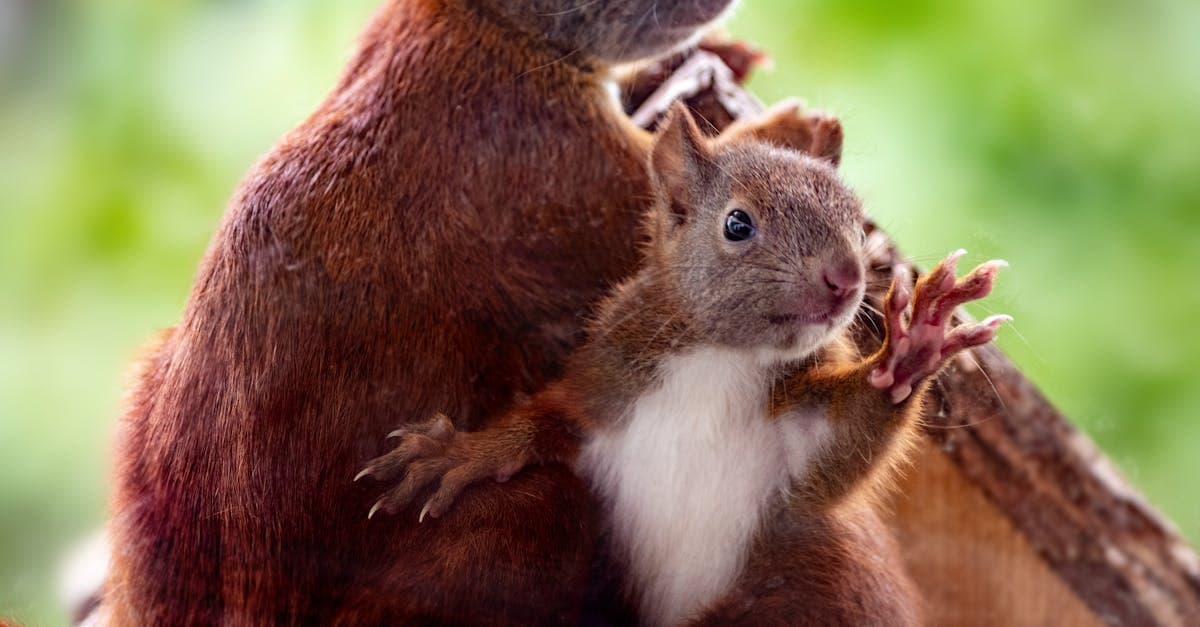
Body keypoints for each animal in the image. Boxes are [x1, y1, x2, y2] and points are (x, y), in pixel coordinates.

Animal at [357, 106, 1011, 626]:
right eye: (737, 224)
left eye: (858, 220)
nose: (846, 278)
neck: (719, 361)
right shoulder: (606, 389)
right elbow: (538, 422)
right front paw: (456, 455)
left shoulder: (794, 452)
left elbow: (846, 445)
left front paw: (914, 346)